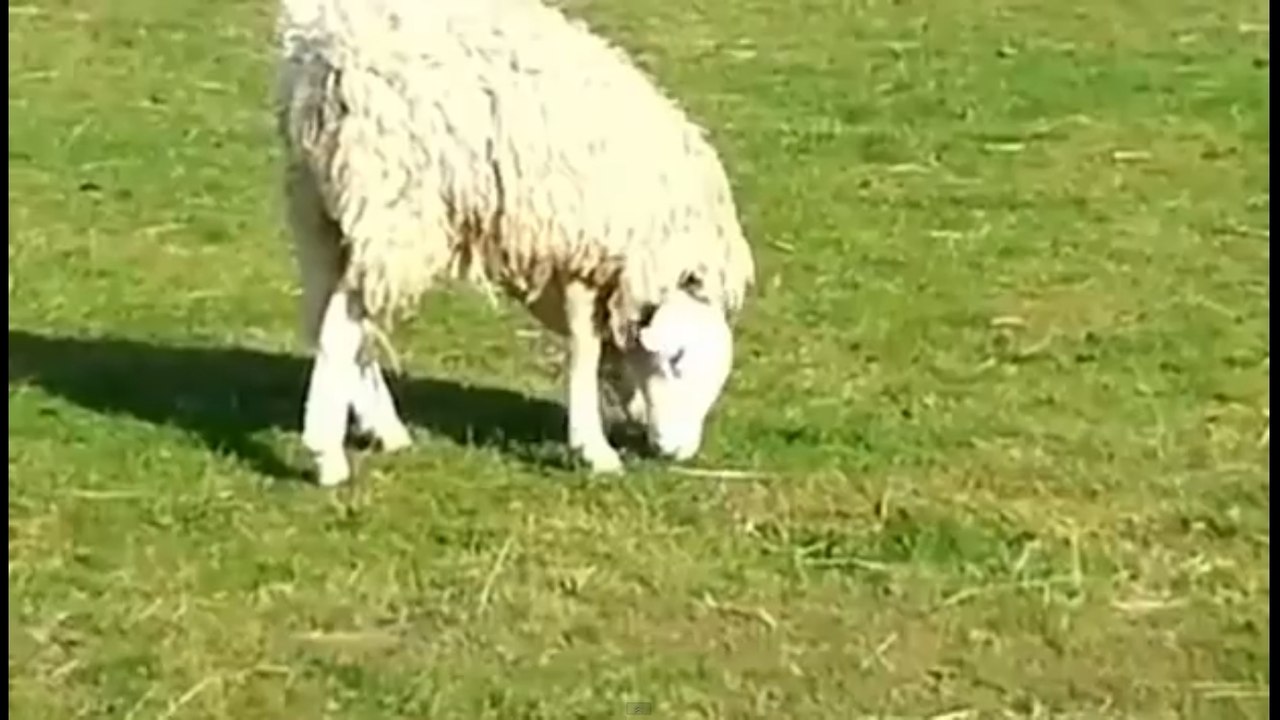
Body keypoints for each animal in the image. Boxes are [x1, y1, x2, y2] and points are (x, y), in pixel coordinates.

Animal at [274, 0, 756, 485]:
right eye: (678, 361)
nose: (679, 452)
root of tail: (323, 43)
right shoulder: (583, 249)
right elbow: (586, 346)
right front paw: (593, 447)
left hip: (319, 206)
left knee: (330, 316)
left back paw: (383, 427)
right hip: (395, 205)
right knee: (341, 325)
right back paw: (328, 454)